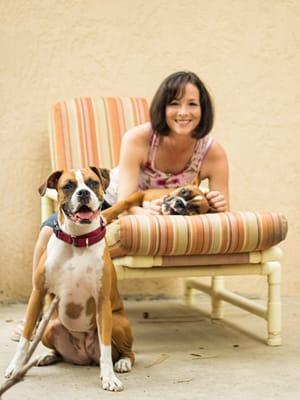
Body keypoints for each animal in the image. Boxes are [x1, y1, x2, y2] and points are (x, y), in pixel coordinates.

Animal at [4, 166, 135, 390]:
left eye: (92, 183)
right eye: (67, 186)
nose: (83, 193)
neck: (78, 240)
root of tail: (84, 356)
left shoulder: (102, 302)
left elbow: (105, 346)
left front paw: (109, 377)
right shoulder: (38, 294)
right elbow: (25, 337)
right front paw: (15, 366)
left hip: (117, 322)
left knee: (128, 353)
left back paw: (123, 362)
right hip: (49, 326)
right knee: (57, 350)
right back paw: (47, 356)